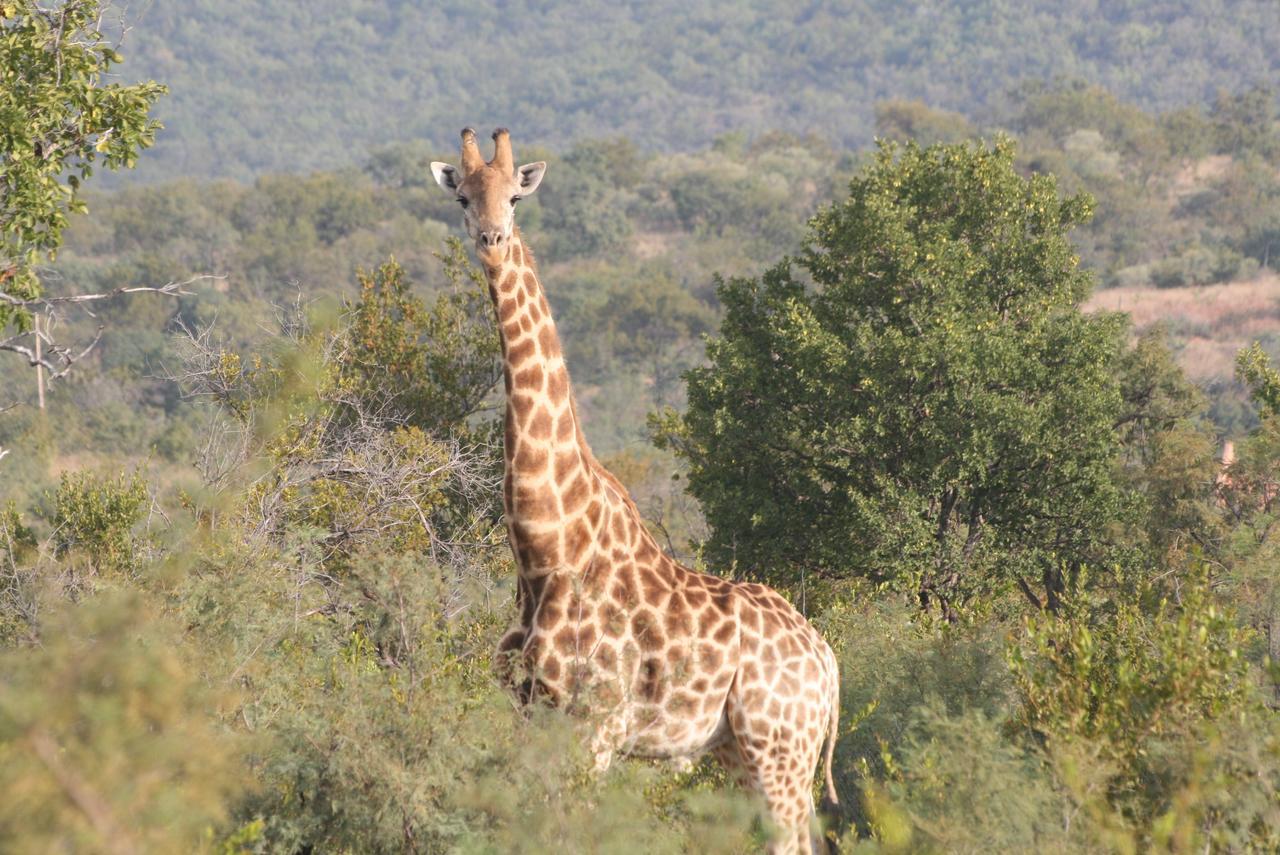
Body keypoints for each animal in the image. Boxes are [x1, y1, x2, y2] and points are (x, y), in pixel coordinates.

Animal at [435, 128, 844, 855]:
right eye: (462, 196)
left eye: (515, 196)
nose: (491, 238)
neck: (546, 548)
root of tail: (826, 660)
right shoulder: (530, 715)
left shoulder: (595, 729)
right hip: (738, 750)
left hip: (781, 747)